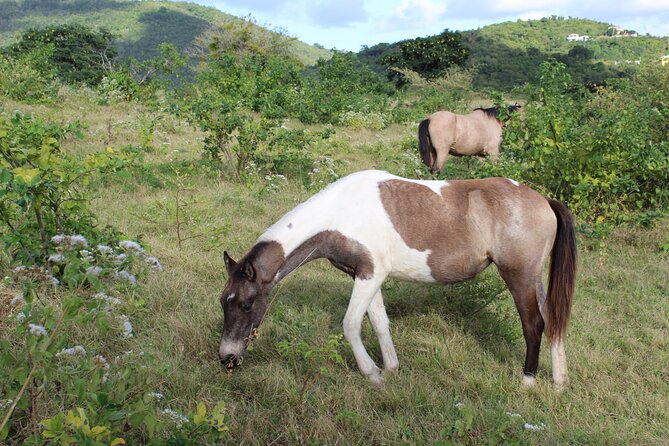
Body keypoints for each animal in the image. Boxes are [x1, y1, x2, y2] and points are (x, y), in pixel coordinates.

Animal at [219, 170, 576, 386]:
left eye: (247, 304)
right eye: (224, 302)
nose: (227, 359)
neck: (340, 212)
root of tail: (544, 200)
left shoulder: (369, 275)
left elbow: (351, 324)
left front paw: (372, 373)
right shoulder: (368, 276)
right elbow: (379, 322)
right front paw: (390, 369)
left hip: (519, 276)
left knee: (534, 324)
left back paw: (528, 380)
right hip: (535, 280)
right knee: (553, 321)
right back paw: (559, 381)